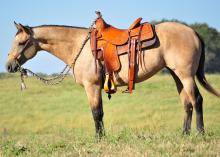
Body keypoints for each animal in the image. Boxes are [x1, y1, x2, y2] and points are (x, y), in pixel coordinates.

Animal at [5, 12, 220, 137]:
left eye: (21, 43)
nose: (9, 66)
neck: (79, 46)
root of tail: (193, 32)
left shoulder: (92, 86)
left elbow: (96, 113)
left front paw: (99, 139)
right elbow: (98, 113)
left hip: (186, 75)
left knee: (197, 100)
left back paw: (200, 133)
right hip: (177, 76)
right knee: (187, 103)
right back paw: (185, 134)